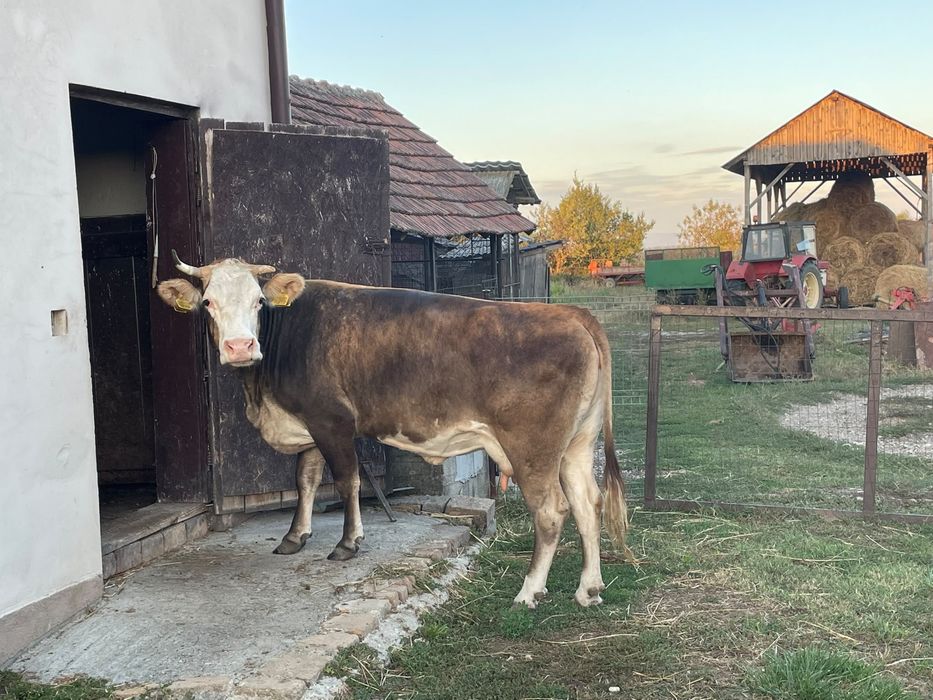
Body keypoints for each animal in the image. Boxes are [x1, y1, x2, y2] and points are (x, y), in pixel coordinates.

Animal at [157, 253, 631, 608]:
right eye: (208, 303)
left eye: (259, 302)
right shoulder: (308, 423)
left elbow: (346, 480)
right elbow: (305, 480)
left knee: (552, 511)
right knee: (588, 503)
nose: (240, 347)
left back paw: (528, 592)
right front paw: (295, 536)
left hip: (533, 448)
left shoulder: (332, 421)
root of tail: (571, 313)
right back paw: (589, 588)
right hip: (577, 444)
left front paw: (348, 543)